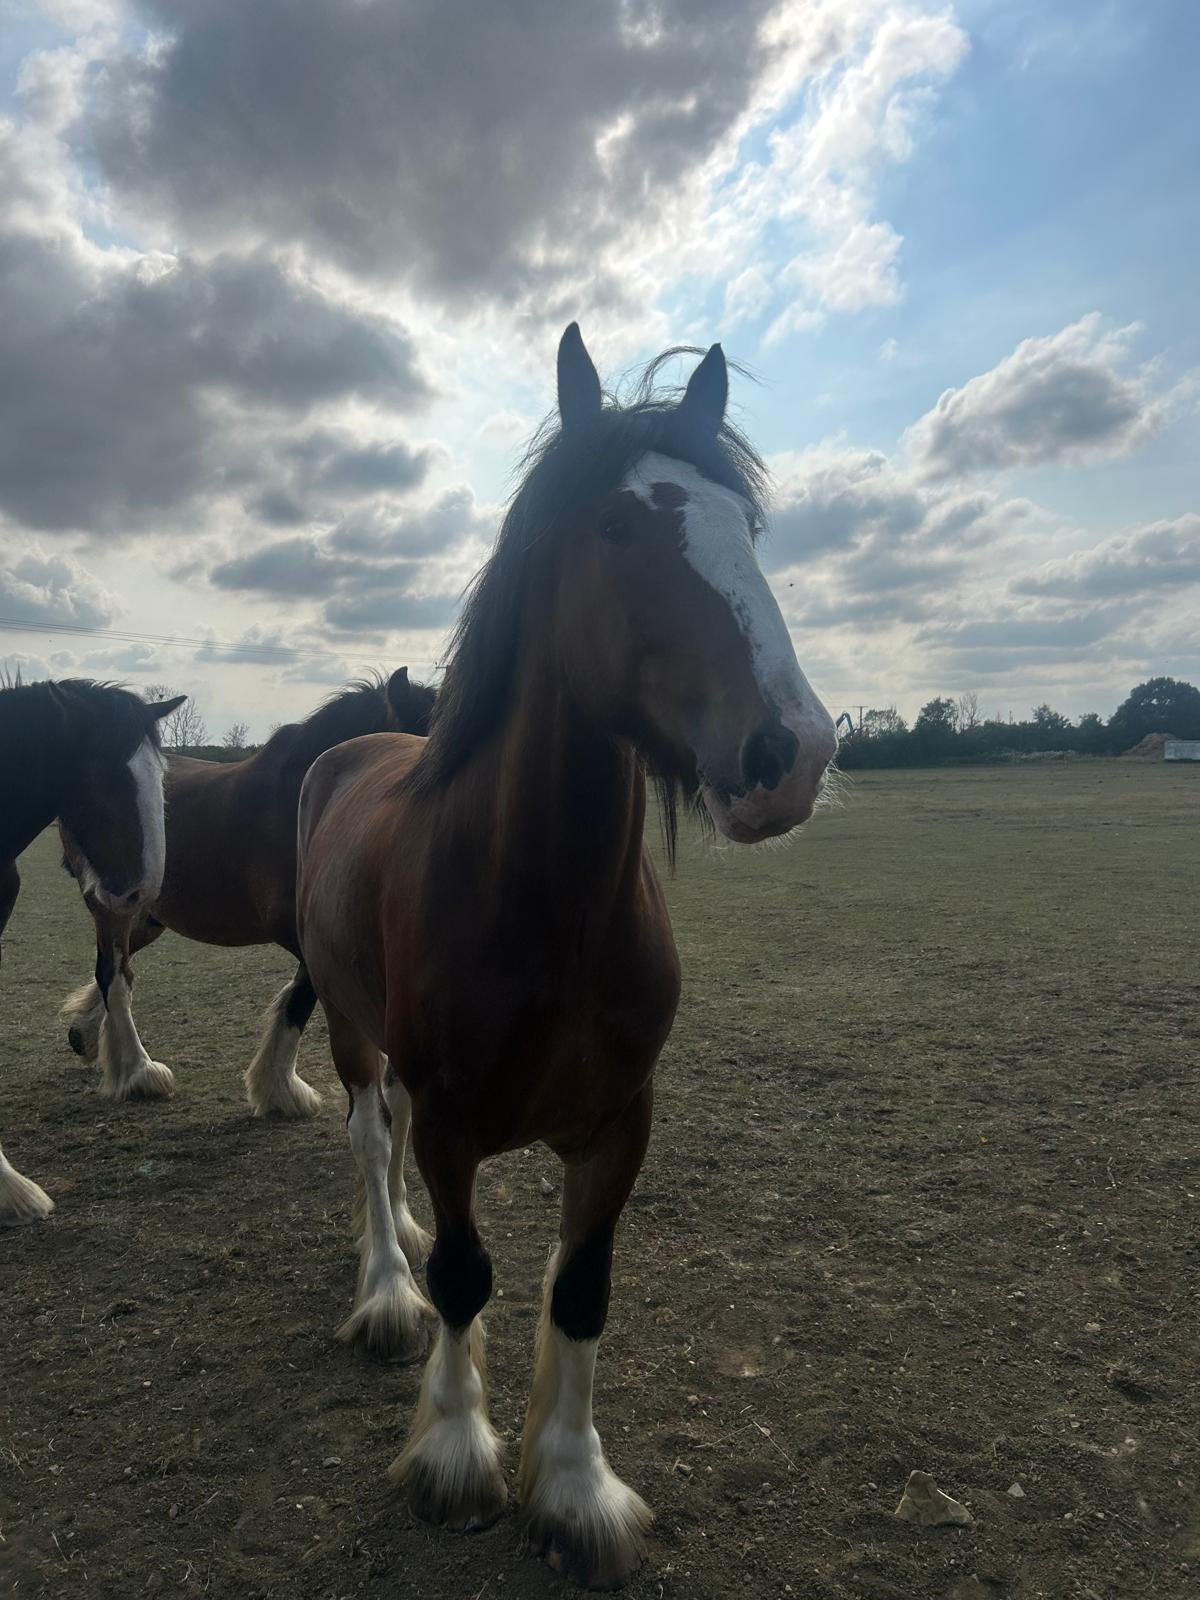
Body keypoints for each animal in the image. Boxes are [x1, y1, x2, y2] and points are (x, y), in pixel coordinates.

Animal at [59, 670, 435, 1115]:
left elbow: (297, 999)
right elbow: (298, 1002)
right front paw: (281, 1089)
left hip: (149, 917)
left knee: (116, 968)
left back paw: (86, 1036)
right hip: (113, 906)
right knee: (114, 976)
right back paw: (139, 1072)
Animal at [295, 326, 837, 1587]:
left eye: (746, 528)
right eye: (617, 527)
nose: (792, 750)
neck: (549, 911)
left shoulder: (619, 1122)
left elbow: (581, 1291)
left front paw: (578, 1486)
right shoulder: (452, 1122)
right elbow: (466, 1276)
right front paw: (455, 1452)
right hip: (347, 1025)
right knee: (370, 1141)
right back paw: (385, 1286)